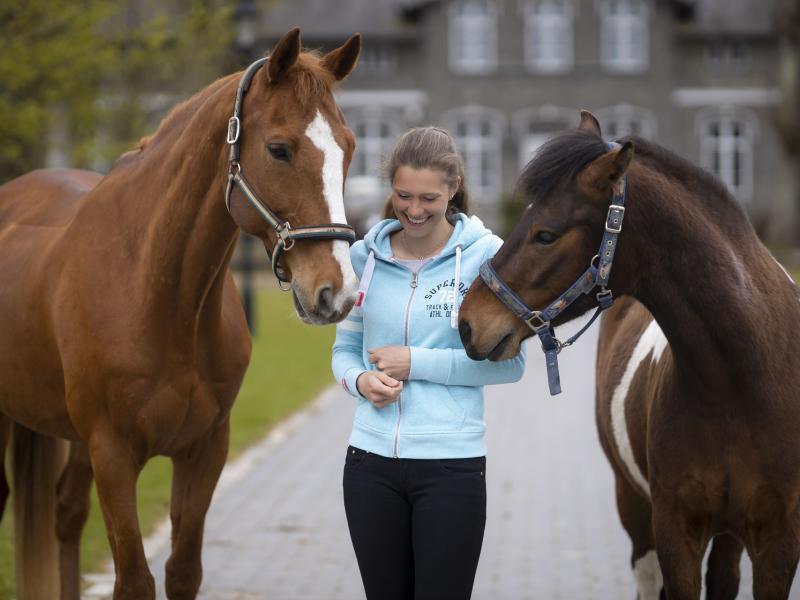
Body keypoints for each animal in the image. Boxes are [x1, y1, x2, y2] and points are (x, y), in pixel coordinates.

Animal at [0, 25, 362, 596]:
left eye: (347, 149)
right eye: (279, 149)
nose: (336, 292)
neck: (160, 296)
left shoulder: (205, 449)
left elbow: (183, 571)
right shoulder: (113, 455)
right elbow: (135, 579)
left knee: (66, 515)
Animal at [456, 110, 800, 596]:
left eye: (546, 234)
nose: (468, 323)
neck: (740, 381)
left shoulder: (779, 543)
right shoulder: (674, 533)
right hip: (635, 510)